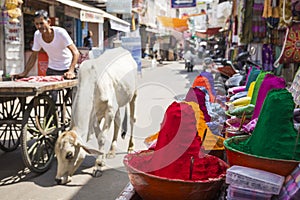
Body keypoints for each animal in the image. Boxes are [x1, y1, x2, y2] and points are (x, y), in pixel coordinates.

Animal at [54, 47, 137, 184]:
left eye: (69, 154)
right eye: (56, 154)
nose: (58, 179)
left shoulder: (109, 111)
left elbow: (102, 137)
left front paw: (98, 166)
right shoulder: (94, 116)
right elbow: (98, 136)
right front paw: (101, 159)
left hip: (134, 94)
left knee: (131, 120)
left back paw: (130, 147)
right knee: (118, 121)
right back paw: (112, 151)